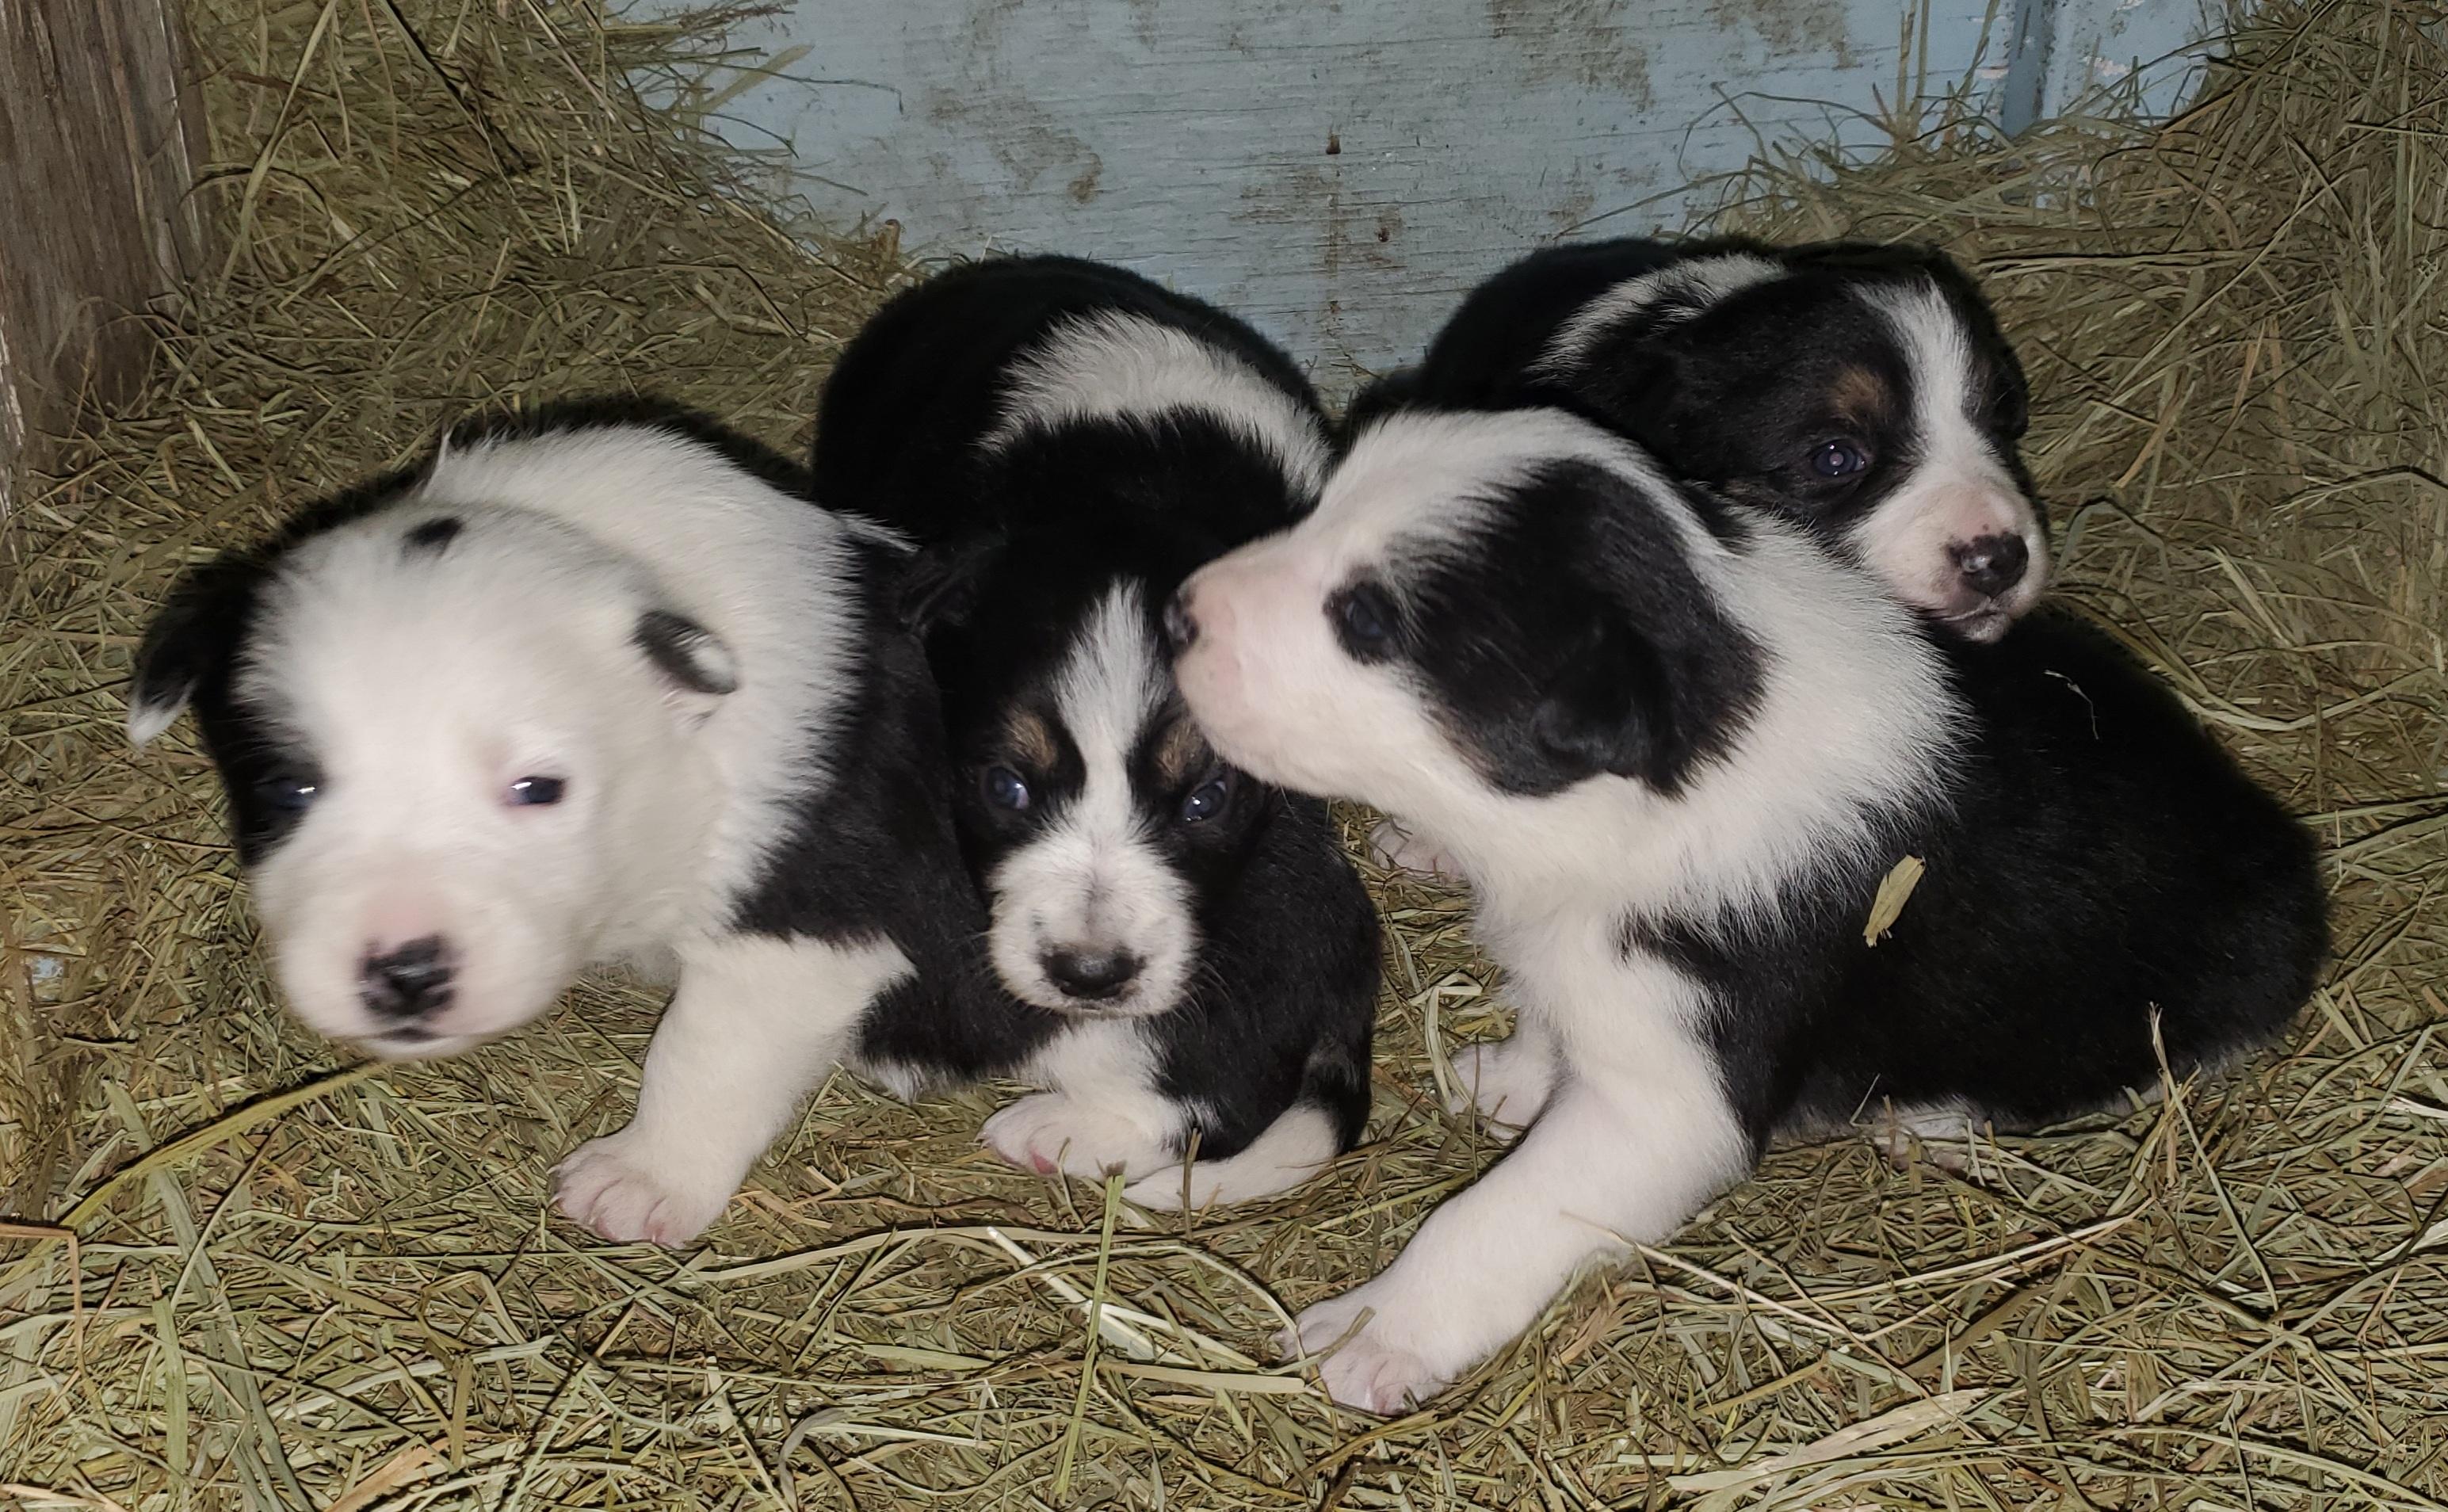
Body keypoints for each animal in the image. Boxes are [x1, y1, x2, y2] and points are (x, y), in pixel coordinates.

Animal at [128, 396, 1037, 1238]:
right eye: (289, 790)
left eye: (538, 788)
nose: (406, 974)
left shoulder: (804, 931)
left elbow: (707, 1052)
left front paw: (644, 1179)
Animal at [1174, 406, 2320, 1409]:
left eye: (1365, 620)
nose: (1180, 610)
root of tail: (2288, 857)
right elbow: (1553, 1019)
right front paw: (1508, 1077)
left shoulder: (1669, 1102)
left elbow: (1492, 1218)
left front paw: (1374, 1336)